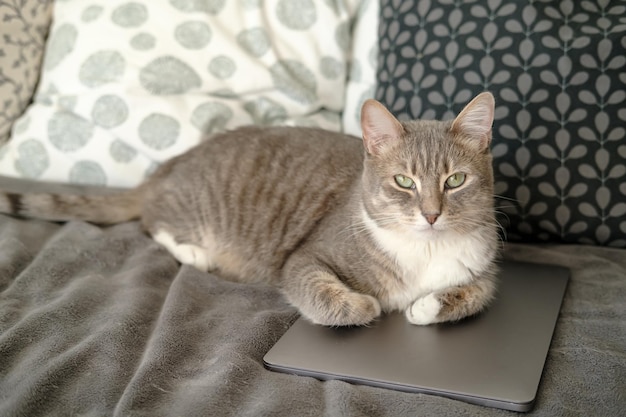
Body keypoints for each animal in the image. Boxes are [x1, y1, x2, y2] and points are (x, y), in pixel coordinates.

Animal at [0, 92, 498, 326]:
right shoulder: (306, 258)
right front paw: (369, 304)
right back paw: (193, 250)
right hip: (190, 206)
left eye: (455, 181)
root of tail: (165, 169)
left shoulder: (485, 269)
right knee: (153, 221)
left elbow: (477, 294)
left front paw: (424, 306)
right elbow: (335, 297)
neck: (424, 251)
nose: (431, 215)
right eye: (404, 182)